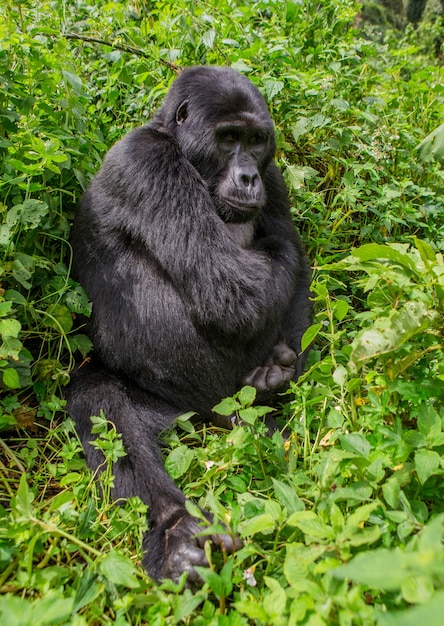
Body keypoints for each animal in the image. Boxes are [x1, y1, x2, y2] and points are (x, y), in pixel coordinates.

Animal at [67, 66, 312, 584]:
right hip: (174, 407)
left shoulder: (274, 176)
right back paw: (175, 531)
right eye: (229, 138)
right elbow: (237, 290)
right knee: (102, 402)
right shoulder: (148, 163)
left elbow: (292, 269)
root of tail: (208, 415)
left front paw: (279, 372)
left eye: (257, 141)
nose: (247, 176)